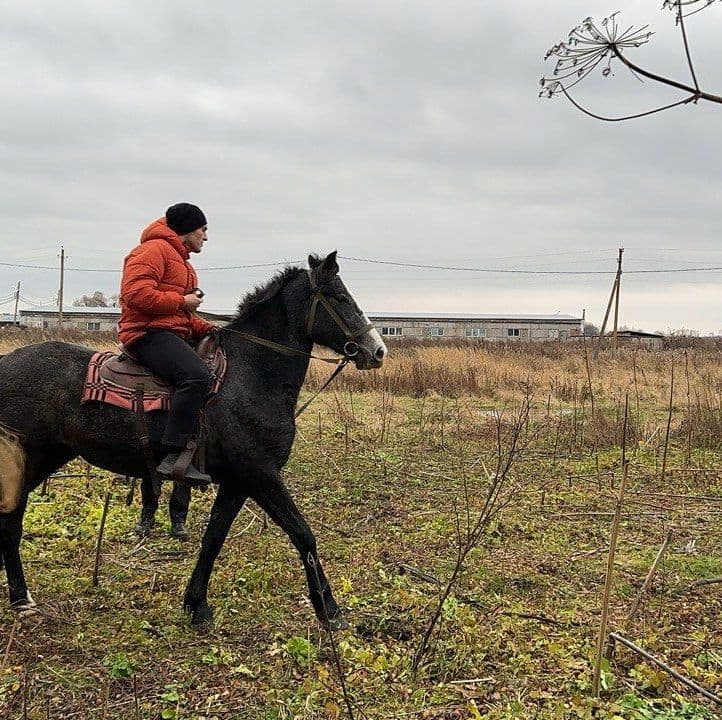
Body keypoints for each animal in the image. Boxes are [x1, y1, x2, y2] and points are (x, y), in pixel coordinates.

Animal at [0, 252, 388, 624]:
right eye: (340, 297)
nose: (378, 350)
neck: (251, 374)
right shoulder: (261, 474)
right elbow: (303, 533)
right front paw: (329, 609)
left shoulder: (237, 482)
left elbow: (213, 538)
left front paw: (196, 604)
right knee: (10, 521)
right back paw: (22, 599)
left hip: (45, 458)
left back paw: (20, 598)